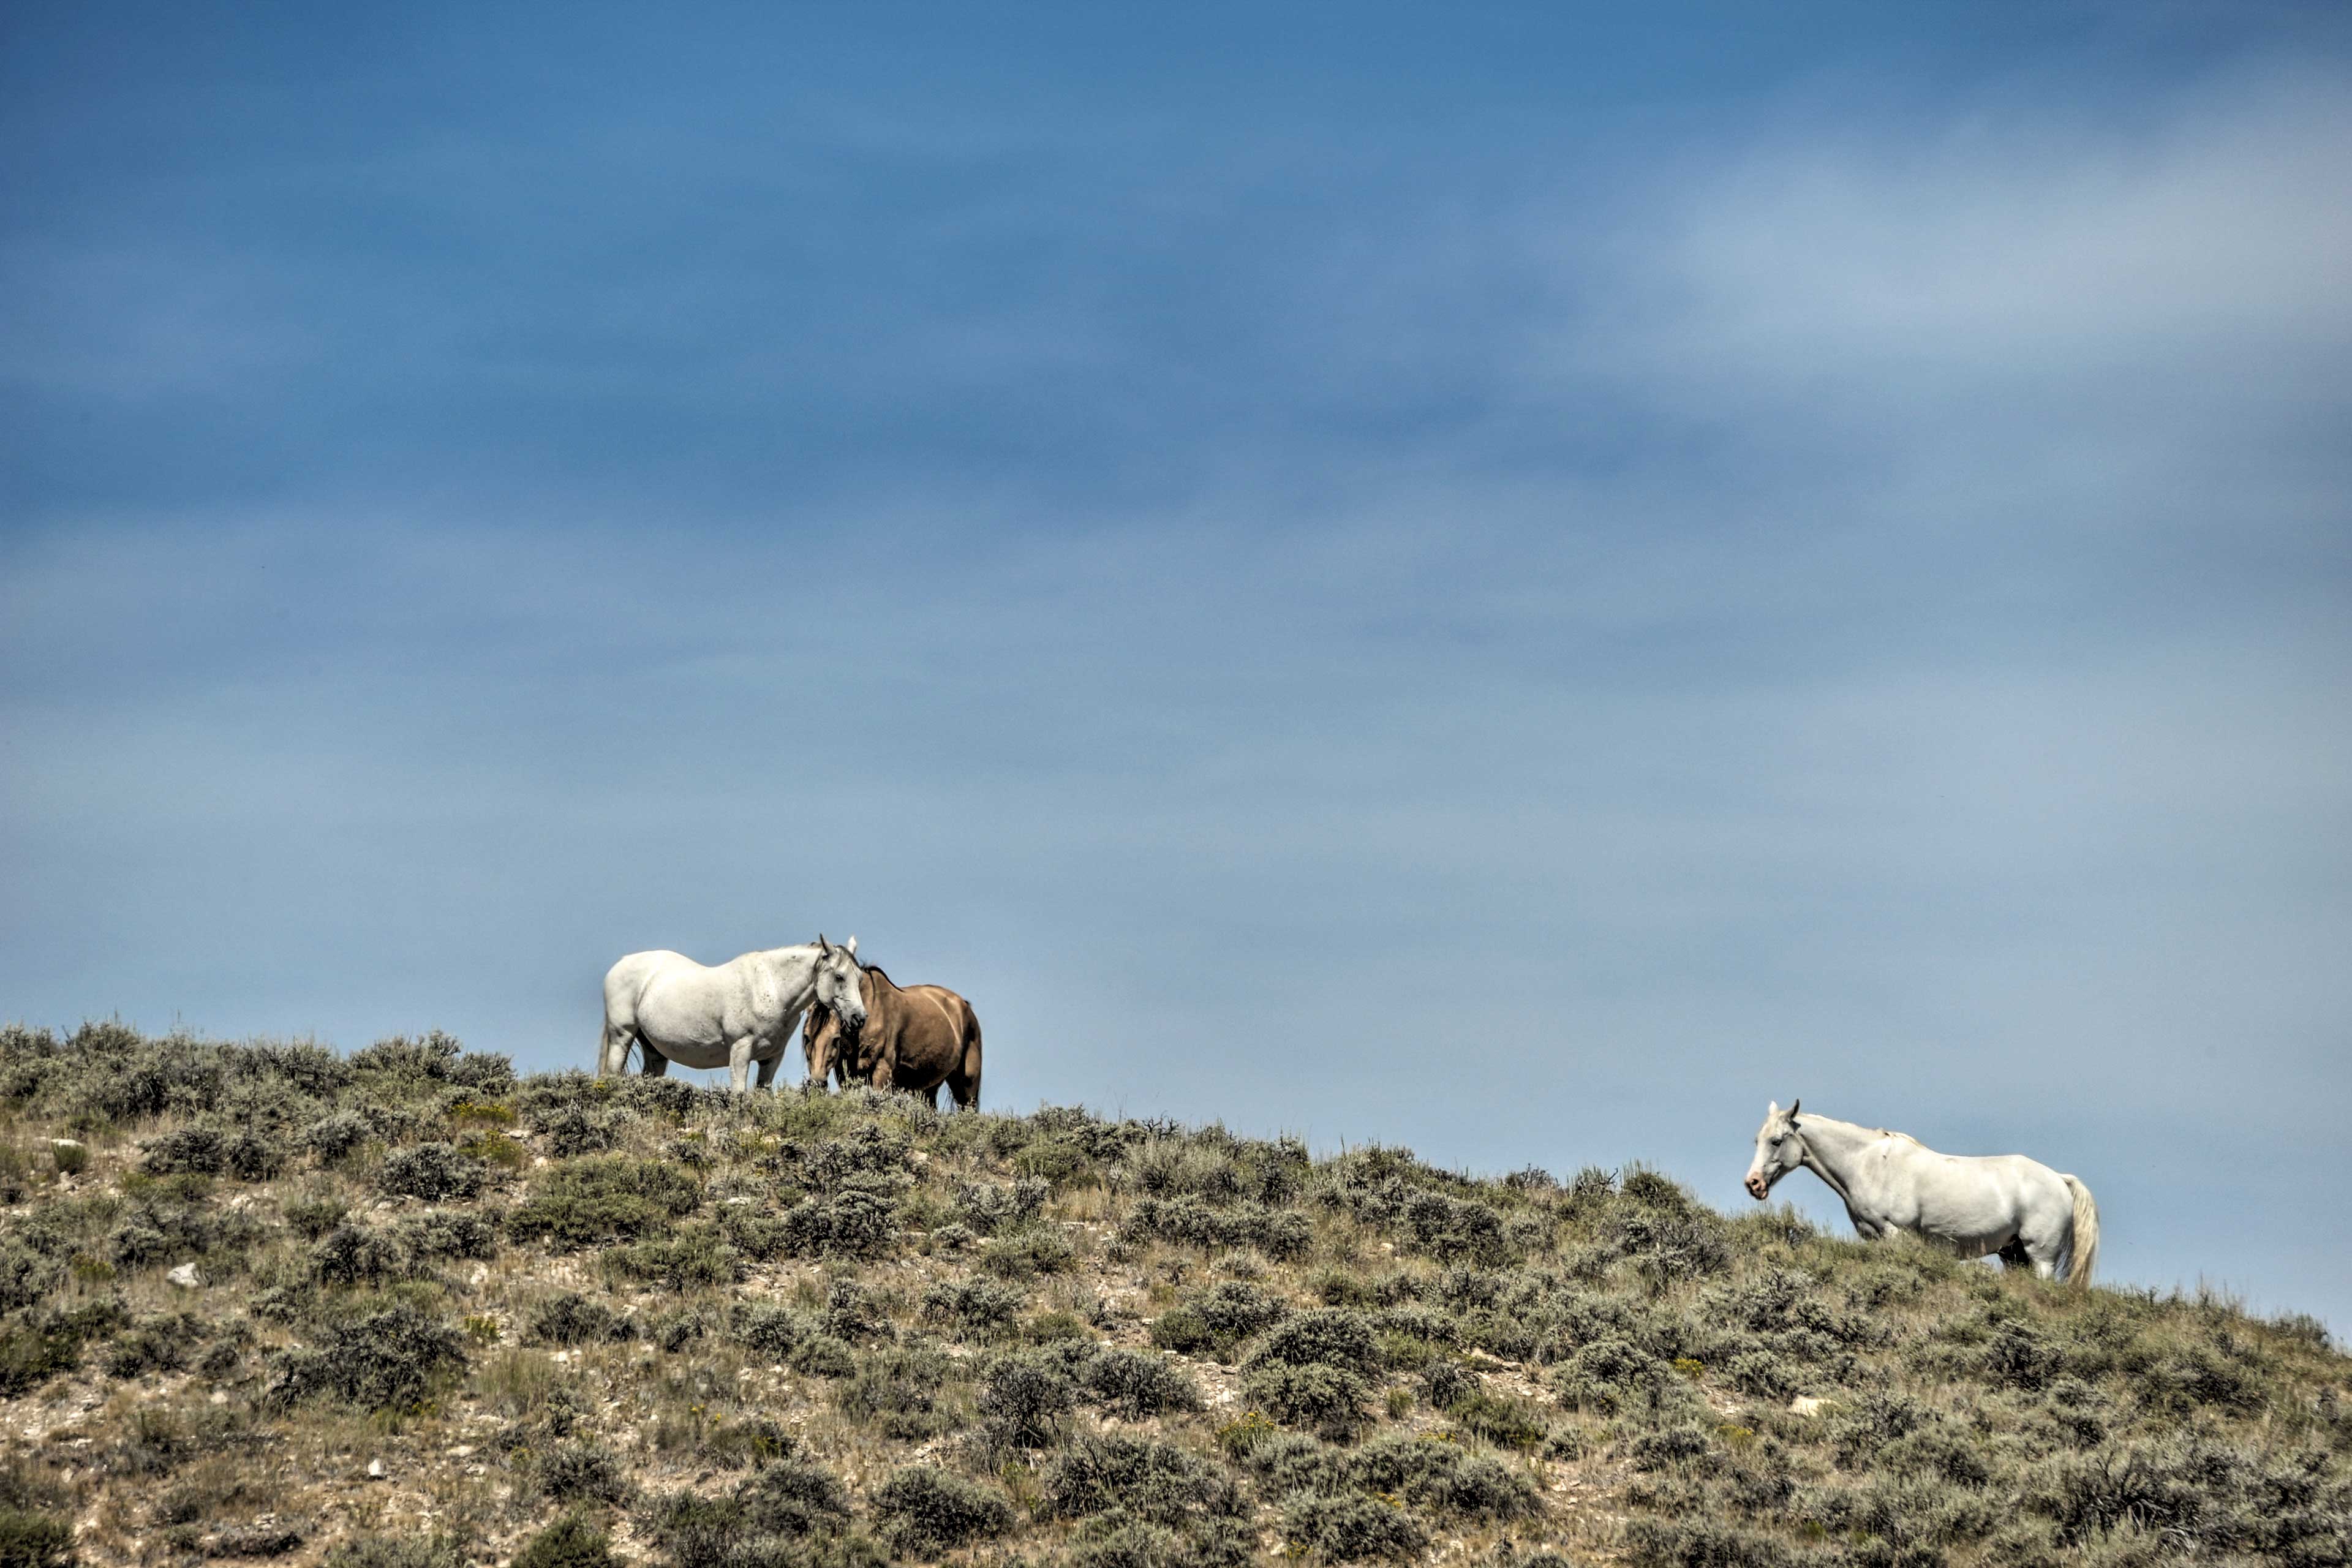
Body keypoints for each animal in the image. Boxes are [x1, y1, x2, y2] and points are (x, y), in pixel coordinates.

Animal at [597, 940, 875, 1100]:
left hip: (654, 1051)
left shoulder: (772, 1058)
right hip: (622, 1035)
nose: (859, 1018)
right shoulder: (741, 1051)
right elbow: (739, 1094)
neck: (771, 989)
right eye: (839, 977)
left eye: (860, 977)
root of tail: (621, 964)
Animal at [809, 963, 983, 1109]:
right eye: (807, 1038)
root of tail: (964, 1006)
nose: (817, 1082)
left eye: (835, 1039)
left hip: (967, 1085)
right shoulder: (846, 1074)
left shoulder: (882, 1072)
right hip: (929, 1088)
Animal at [1740, 1100, 2107, 1278]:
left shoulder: (1896, 1235)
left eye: (1777, 1141)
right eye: (1756, 1140)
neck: (1870, 1163)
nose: (1753, 1183)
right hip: (2013, 1256)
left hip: (2040, 1257)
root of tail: (2059, 1178)